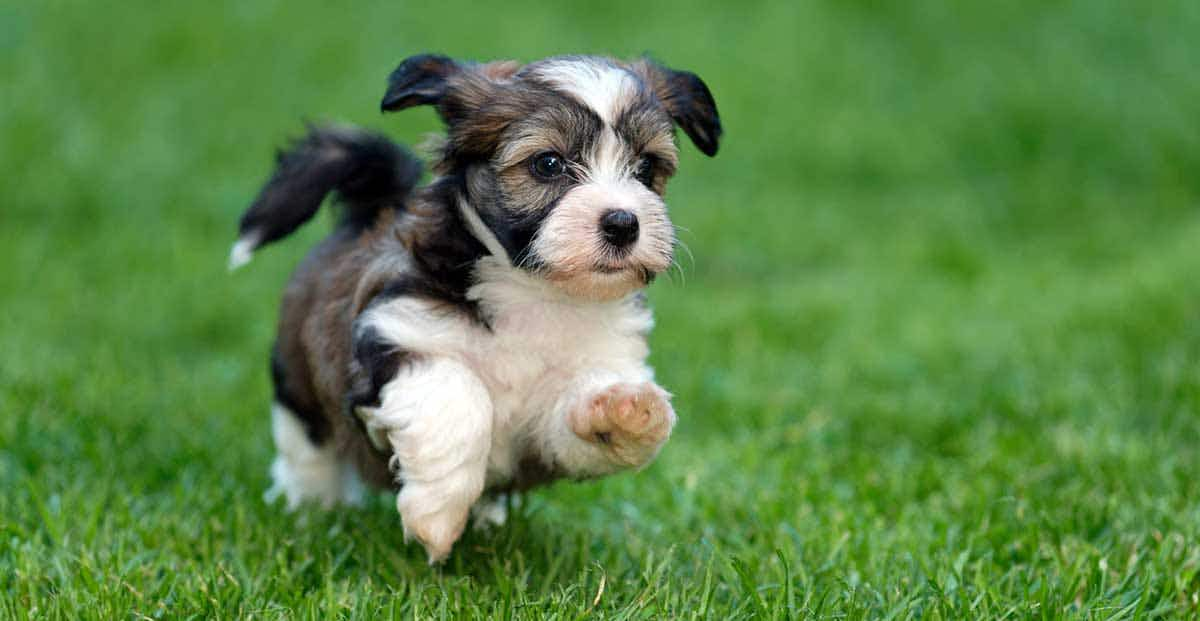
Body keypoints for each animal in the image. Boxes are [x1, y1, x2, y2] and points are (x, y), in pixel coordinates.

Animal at [231, 54, 720, 565]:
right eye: (548, 164)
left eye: (646, 167)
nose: (624, 223)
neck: (534, 291)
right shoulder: (400, 329)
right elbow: (458, 396)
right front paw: (437, 515)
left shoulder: (548, 426)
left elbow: (574, 424)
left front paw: (624, 408)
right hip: (299, 387)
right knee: (307, 447)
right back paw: (311, 509)